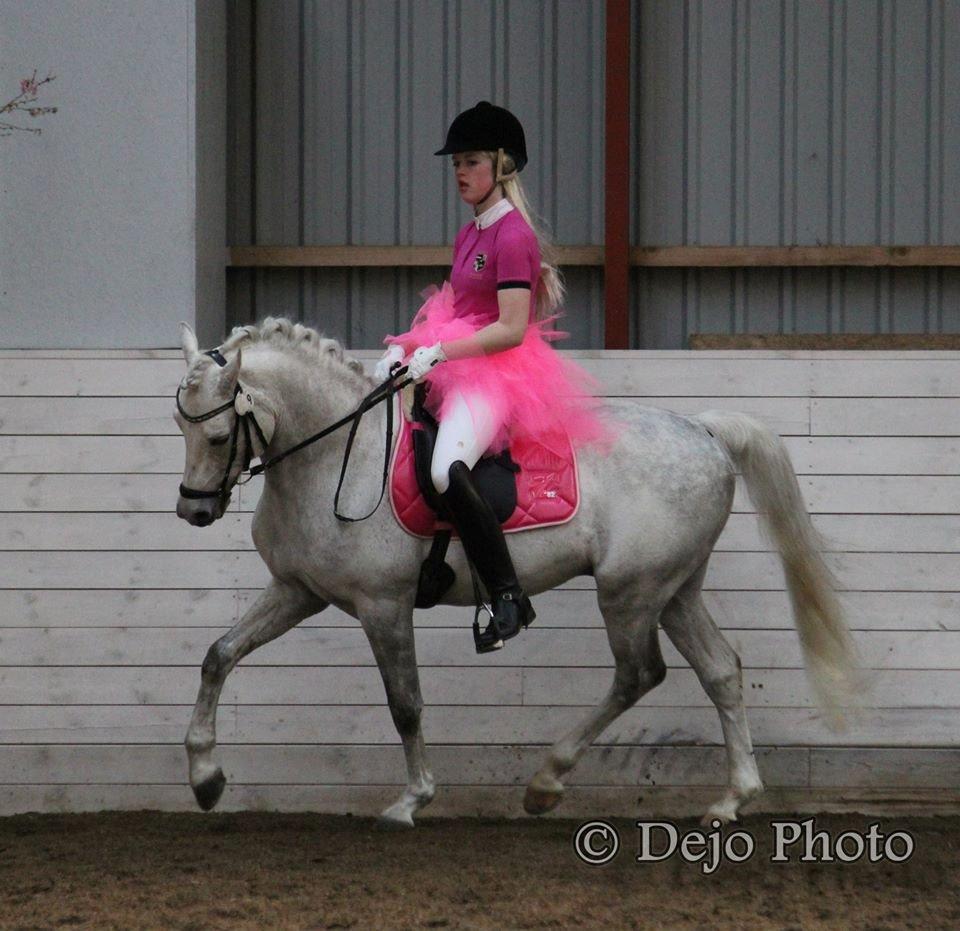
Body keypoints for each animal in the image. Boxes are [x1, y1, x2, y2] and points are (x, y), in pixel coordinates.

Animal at [174, 317, 858, 827]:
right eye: (179, 424)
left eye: (217, 435)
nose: (193, 511)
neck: (338, 455)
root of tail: (703, 430)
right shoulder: (298, 592)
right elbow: (217, 655)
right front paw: (206, 776)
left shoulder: (382, 605)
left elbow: (405, 704)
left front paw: (412, 800)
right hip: (674, 589)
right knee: (720, 671)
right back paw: (731, 798)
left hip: (631, 591)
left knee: (639, 674)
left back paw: (547, 782)